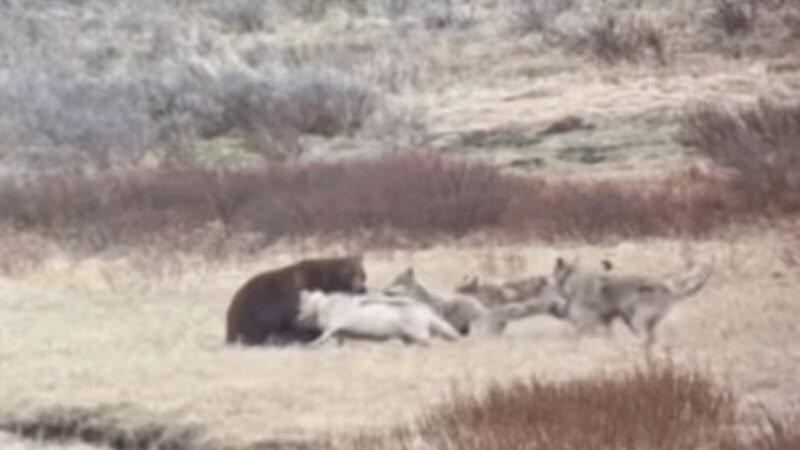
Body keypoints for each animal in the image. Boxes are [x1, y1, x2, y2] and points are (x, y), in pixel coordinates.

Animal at [296, 290, 460, 346]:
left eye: (303, 307)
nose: (297, 318)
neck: (322, 305)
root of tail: (424, 309)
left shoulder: (332, 326)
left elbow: (322, 337)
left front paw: (310, 345)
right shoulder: (338, 333)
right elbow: (338, 340)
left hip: (419, 335)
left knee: (431, 342)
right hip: (410, 338)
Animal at [552, 255, 716, 346]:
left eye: (554, 272)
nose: (553, 283)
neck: (571, 274)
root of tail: (667, 287)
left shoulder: (588, 317)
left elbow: (581, 332)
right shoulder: (607, 318)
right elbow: (607, 333)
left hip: (638, 319)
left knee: (645, 339)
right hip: (644, 322)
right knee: (651, 340)